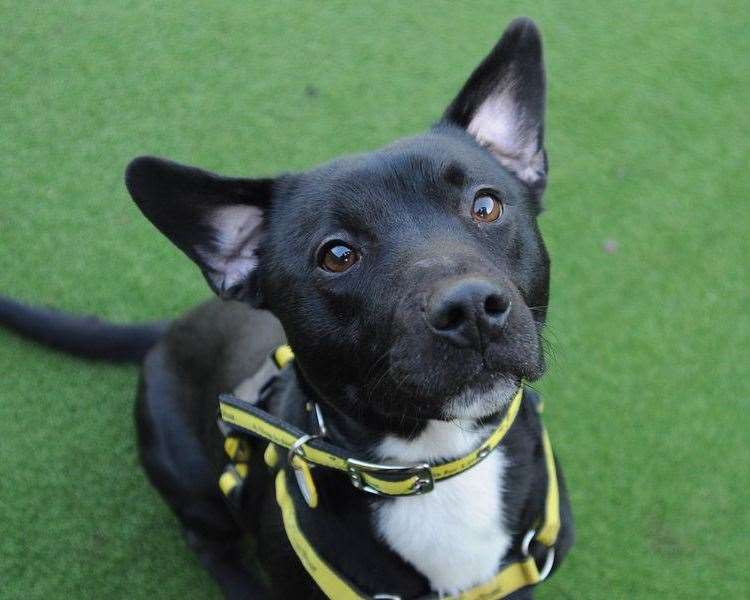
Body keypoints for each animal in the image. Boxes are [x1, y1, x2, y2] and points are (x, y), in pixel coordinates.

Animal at [1, 17, 576, 600]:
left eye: (486, 205)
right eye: (337, 256)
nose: (471, 308)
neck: (434, 465)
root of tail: (173, 327)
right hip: (190, 480)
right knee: (205, 539)